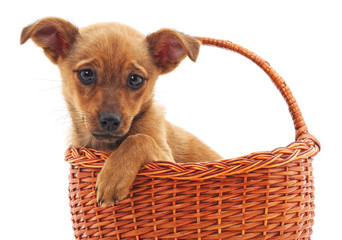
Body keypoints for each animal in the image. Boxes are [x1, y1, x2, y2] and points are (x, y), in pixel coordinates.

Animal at [20, 17, 222, 206]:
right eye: (86, 74)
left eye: (135, 79)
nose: (110, 120)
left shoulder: (168, 161)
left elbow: (139, 139)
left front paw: (113, 177)